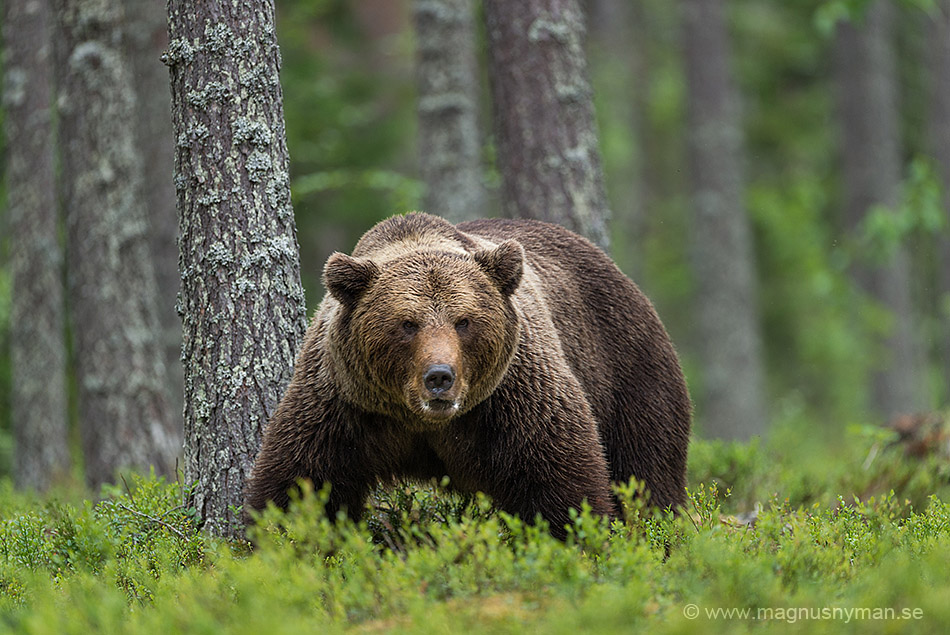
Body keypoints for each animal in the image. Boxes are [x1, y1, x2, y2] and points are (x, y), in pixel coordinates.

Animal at [245, 212, 692, 536]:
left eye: (464, 321)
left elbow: (558, 484)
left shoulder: (514, 398)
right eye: (407, 324)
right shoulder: (342, 403)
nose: (439, 376)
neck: (420, 422)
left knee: (647, 471)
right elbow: (302, 484)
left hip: (627, 368)